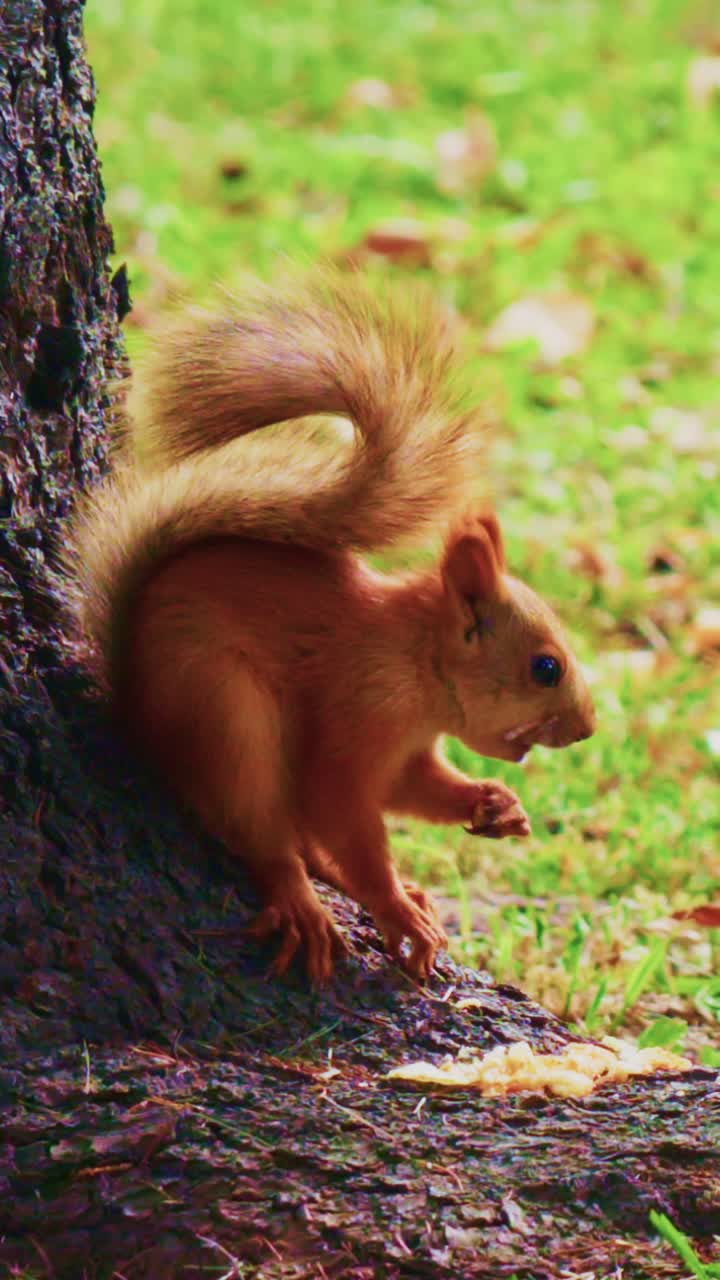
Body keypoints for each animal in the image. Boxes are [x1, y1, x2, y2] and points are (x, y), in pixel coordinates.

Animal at [63, 270, 595, 983]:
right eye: (546, 668)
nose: (587, 728)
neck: (417, 662)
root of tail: (133, 707)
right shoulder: (362, 704)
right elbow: (340, 805)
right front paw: (393, 908)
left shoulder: (405, 748)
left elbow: (409, 788)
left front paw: (491, 803)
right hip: (222, 710)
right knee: (262, 828)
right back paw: (306, 899)